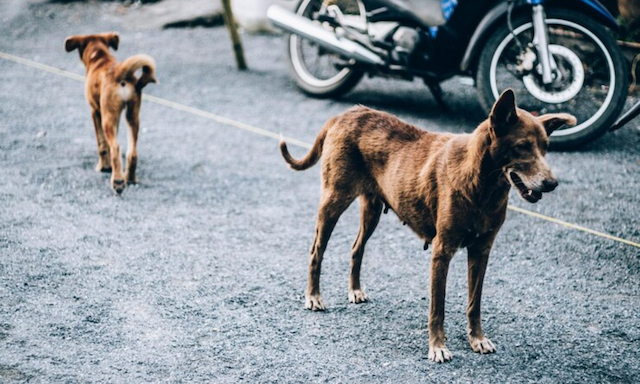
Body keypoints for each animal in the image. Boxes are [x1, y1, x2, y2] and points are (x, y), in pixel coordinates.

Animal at [64, 32, 157, 195]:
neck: (99, 57)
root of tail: (120, 73)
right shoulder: (116, 116)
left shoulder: (95, 111)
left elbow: (102, 145)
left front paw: (104, 167)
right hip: (132, 115)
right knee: (132, 152)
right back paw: (129, 178)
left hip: (108, 118)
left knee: (115, 148)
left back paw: (118, 181)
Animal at [280, 90, 576, 364]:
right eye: (522, 146)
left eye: (545, 147)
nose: (552, 184)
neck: (482, 186)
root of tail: (344, 114)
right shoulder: (442, 251)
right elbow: (438, 308)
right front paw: (438, 347)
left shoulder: (481, 251)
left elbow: (475, 303)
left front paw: (477, 339)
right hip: (334, 200)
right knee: (316, 250)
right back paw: (313, 297)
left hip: (372, 209)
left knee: (356, 248)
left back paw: (354, 290)